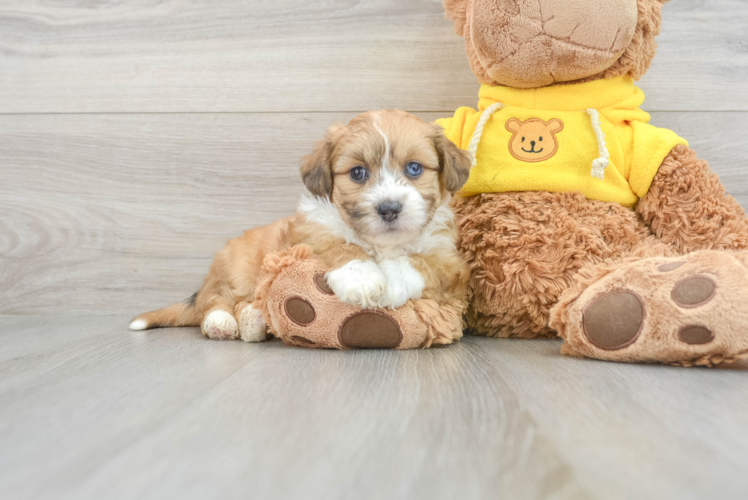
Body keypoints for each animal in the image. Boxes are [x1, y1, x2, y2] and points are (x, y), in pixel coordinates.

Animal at [128, 111, 468, 342]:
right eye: (357, 173)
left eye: (414, 168)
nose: (389, 208)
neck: (381, 243)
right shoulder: (309, 232)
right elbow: (338, 244)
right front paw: (362, 279)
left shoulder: (451, 263)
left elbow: (421, 262)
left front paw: (393, 280)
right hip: (235, 269)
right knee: (217, 301)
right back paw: (223, 323)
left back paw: (253, 320)